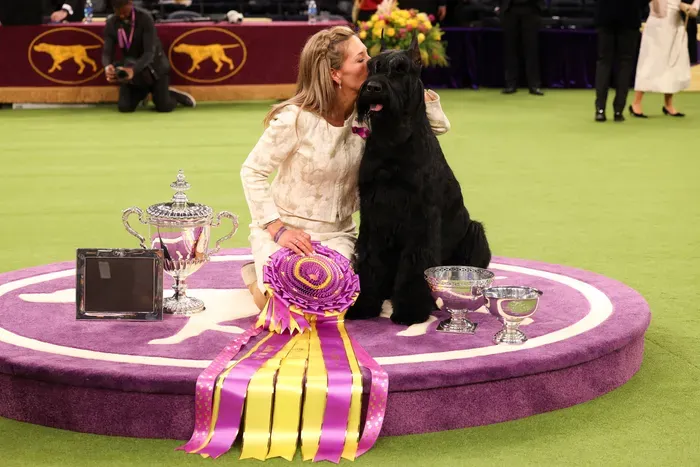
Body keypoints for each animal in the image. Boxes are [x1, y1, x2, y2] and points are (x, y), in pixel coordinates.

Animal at [346, 36, 492, 328]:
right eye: (371, 66)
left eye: (400, 69)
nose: (372, 87)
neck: (393, 142)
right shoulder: (373, 215)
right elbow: (369, 259)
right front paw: (364, 304)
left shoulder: (421, 219)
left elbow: (415, 265)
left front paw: (410, 311)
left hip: (475, 231)